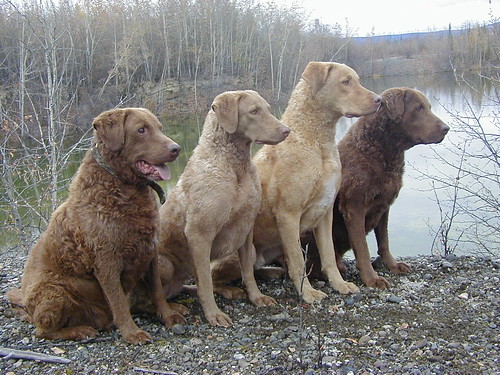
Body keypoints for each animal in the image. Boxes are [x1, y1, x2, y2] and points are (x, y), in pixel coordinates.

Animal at [6, 108, 186, 344]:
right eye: (141, 130)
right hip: (53, 290)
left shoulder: (150, 251)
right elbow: (119, 302)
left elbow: (156, 290)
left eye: (160, 128)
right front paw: (132, 333)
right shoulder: (106, 261)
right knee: (42, 330)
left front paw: (168, 315)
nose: (176, 148)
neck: (123, 188)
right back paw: (81, 331)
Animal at [156, 90, 290, 326]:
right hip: (164, 263)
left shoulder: (246, 229)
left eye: (267, 108)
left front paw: (257, 297)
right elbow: (206, 282)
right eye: (254, 111)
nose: (286, 130)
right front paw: (214, 314)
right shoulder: (199, 235)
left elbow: (248, 273)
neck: (235, 167)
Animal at [213, 61, 380, 302]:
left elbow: (329, 255)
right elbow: (298, 261)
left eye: (356, 80)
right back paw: (230, 289)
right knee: (214, 276)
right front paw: (308, 293)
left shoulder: (325, 212)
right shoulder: (288, 215)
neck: (316, 142)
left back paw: (271, 272)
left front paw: (339, 284)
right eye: (346, 81)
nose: (379, 100)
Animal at [304, 88, 450, 288]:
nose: (446, 128)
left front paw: (392, 265)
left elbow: (384, 241)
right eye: (418, 108)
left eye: (428, 107)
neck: (380, 152)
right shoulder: (354, 208)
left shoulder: (384, 206)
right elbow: (363, 248)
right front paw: (371, 278)